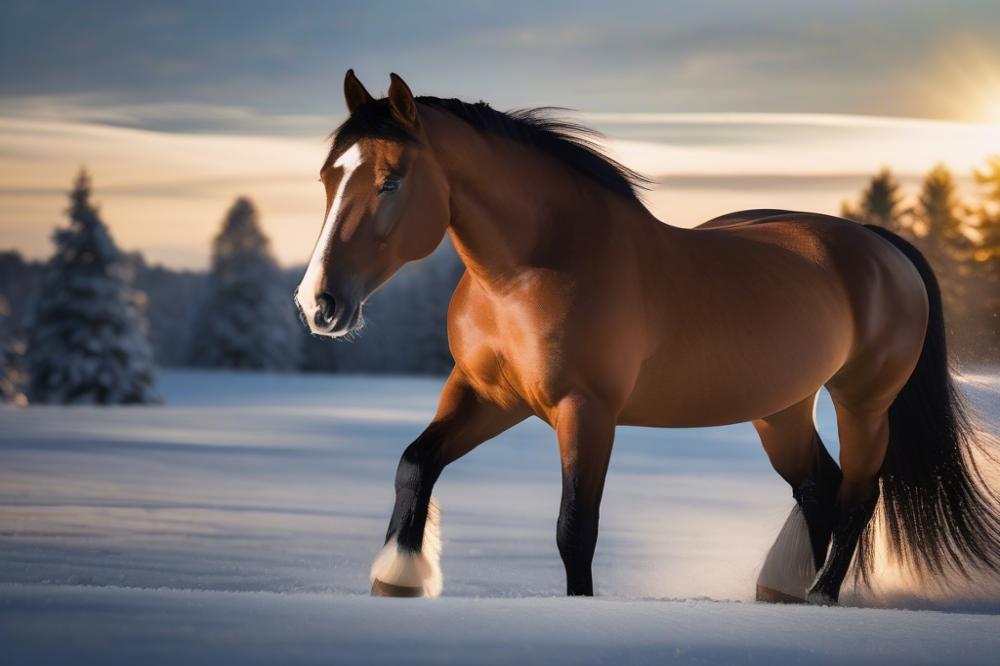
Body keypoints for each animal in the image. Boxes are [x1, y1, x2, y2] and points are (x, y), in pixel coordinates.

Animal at [293, 70, 1000, 603]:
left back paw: (823, 598)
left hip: (863, 402)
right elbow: (416, 465)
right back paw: (791, 593)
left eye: (391, 180)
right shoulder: (489, 395)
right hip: (781, 410)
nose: (318, 304)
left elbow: (575, 528)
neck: (529, 271)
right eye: (328, 177)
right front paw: (397, 578)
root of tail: (881, 245)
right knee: (818, 489)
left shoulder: (586, 410)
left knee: (856, 495)